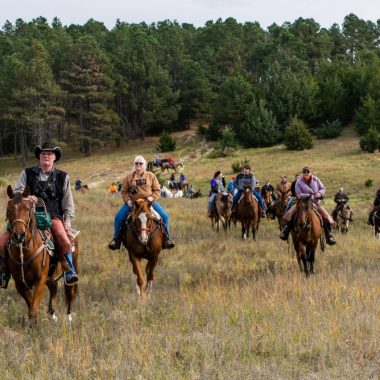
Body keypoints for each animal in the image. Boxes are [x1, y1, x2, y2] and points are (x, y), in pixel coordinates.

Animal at [5, 186, 78, 326]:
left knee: (70, 293)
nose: (18, 236)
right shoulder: (20, 284)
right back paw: (53, 314)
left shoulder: (40, 280)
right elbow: (31, 306)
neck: (25, 252)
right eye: (8, 209)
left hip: (71, 270)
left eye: (27, 209)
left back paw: (69, 319)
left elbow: (33, 309)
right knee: (54, 287)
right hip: (51, 276)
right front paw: (33, 325)